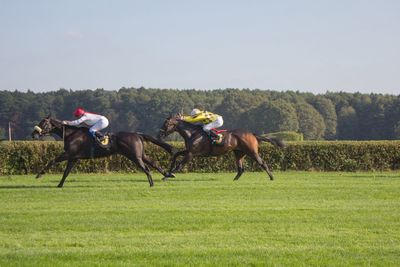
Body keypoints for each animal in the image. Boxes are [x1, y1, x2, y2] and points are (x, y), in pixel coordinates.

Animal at [30, 115, 174, 188]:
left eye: (43, 123)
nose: (33, 134)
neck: (71, 134)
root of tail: (137, 134)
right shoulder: (73, 157)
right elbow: (66, 172)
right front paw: (59, 185)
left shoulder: (68, 154)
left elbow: (52, 160)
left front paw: (39, 175)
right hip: (140, 154)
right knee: (153, 163)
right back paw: (167, 175)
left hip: (134, 156)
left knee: (147, 168)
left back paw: (152, 183)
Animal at [158, 114, 286, 183]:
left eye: (166, 124)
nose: (160, 134)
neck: (192, 133)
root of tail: (252, 134)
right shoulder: (189, 151)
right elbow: (176, 155)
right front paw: (168, 173)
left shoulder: (191, 154)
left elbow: (179, 166)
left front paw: (167, 177)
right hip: (239, 153)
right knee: (241, 169)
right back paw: (234, 180)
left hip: (252, 152)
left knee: (262, 163)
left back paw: (272, 177)